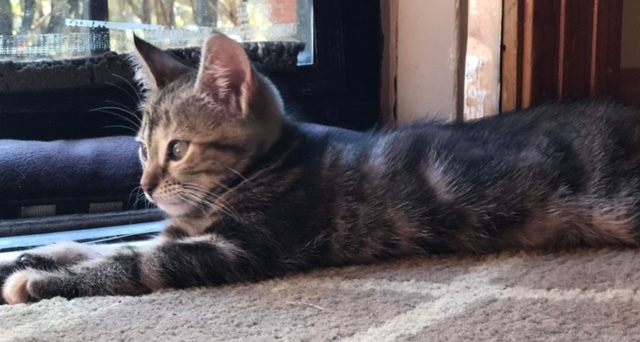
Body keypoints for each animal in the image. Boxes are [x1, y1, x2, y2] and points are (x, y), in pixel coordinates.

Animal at [1, 32, 640, 304]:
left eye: (177, 149)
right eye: (140, 149)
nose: (146, 184)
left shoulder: (239, 248)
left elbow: (132, 263)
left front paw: (39, 281)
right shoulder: (179, 231)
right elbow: (110, 245)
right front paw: (31, 256)